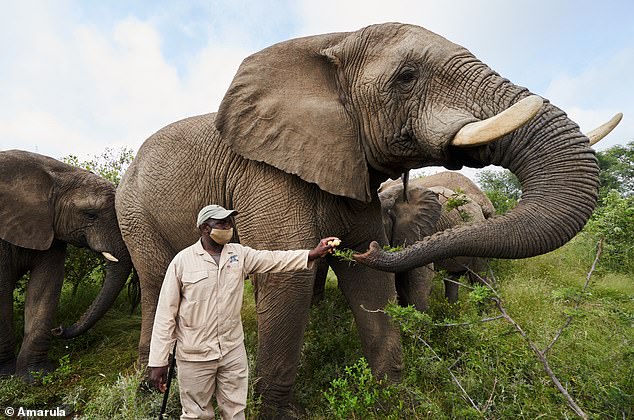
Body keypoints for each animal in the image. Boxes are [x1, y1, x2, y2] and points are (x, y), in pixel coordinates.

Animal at [0, 150, 133, 380]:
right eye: (91, 214)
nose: (58, 329)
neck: (57, 176)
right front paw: (6, 373)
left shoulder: (50, 228)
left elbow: (45, 286)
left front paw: (35, 375)